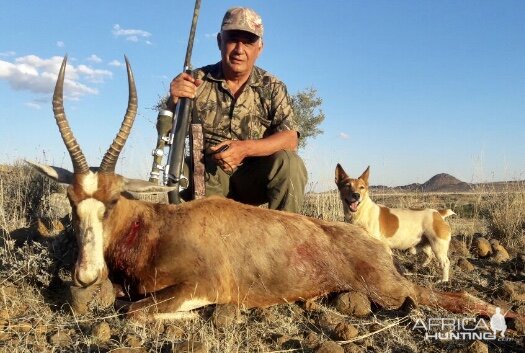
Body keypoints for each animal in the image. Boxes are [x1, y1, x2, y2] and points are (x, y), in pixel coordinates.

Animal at [29, 55, 524, 324]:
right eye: (72, 201)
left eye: (112, 200)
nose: (86, 275)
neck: (157, 228)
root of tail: (368, 241)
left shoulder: (203, 283)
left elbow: (132, 310)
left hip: (391, 288)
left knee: (455, 296)